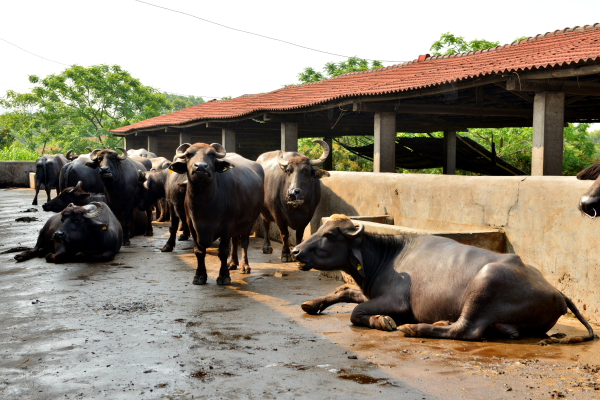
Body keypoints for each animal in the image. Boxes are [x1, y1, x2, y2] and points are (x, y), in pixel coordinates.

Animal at [169, 143, 262, 284]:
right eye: (188, 154)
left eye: (212, 155)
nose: (201, 166)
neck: (204, 204)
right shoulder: (193, 226)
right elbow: (199, 251)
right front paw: (200, 276)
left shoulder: (227, 226)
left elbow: (223, 251)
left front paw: (224, 276)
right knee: (235, 241)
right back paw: (232, 263)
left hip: (249, 222)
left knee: (244, 243)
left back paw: (244, 266)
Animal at [292, 214, 596, 346]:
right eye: (319, 229)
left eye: (330, 235)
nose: (296, 251)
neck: (385, 257)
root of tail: (557, 292)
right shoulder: (368, 291)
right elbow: (344, 289)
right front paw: (311, 303)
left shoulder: (397, 301)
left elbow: (356, 312)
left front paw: (384, 321)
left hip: (486, 281)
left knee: (465, 330)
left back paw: (415, 328)